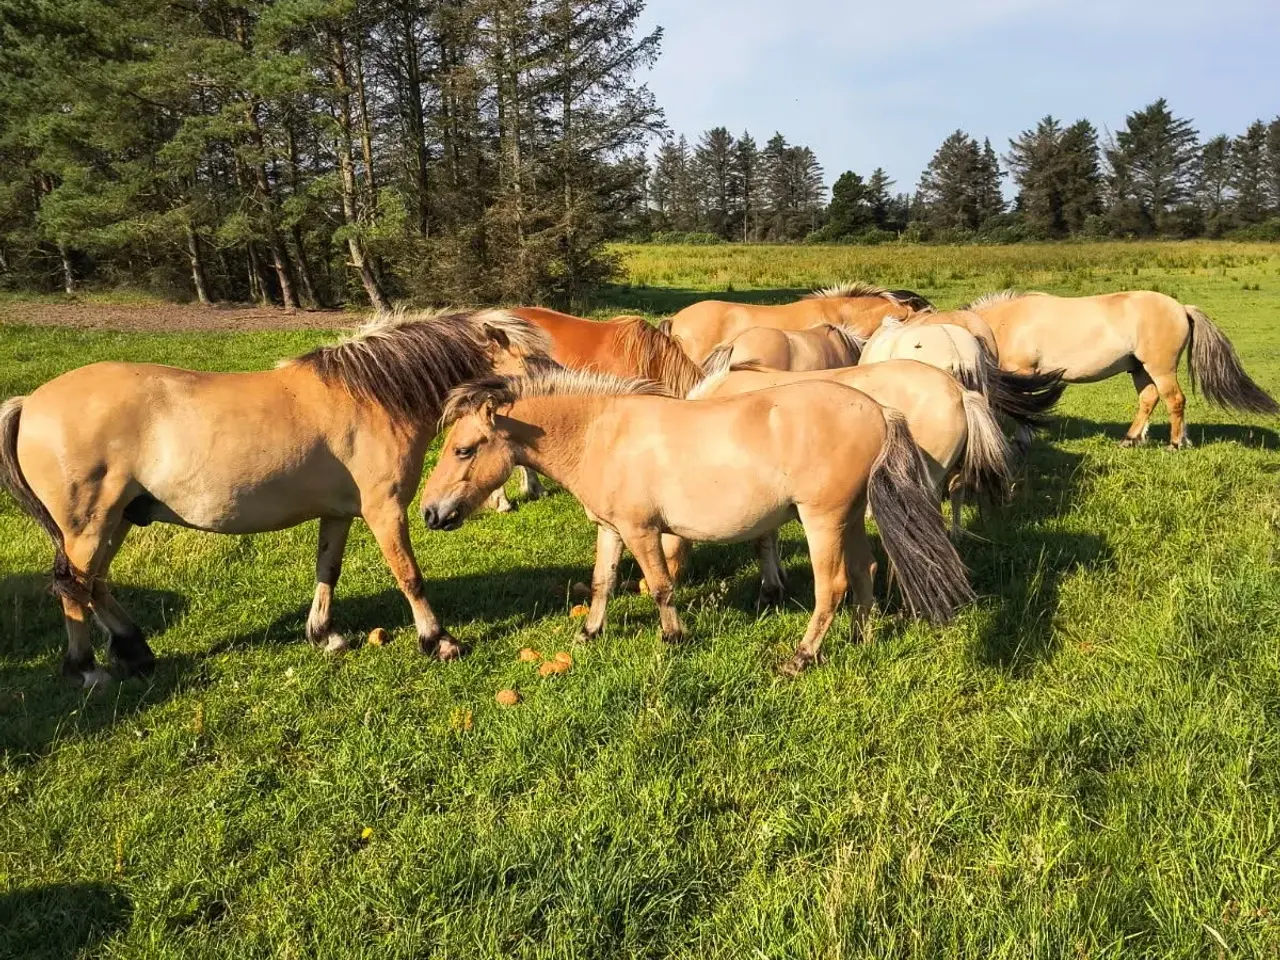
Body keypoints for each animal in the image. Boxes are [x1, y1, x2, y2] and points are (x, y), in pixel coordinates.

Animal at [0, 309, 550, 686]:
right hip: (89, 524)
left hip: (117, 519)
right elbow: (410, 576)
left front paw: (325, 635)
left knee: (93, 585)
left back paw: (135, 649)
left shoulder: (340, 514)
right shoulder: (384, 510)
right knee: (72, 587)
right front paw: (437, 641)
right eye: (533, 361)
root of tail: (29, 402)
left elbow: (328, 570)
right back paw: (87, 670)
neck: (371, 397)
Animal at [420, 368, 974, 675]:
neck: (601, 432)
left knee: (832, 586)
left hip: (823, 520)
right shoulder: (611, 530)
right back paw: (862, 637)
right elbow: (602, 582)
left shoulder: (641, 531)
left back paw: (802, 656)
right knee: (864, 572)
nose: (430, 513)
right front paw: (590, 633)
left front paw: (673, 638)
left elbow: (661, 585)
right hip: (851, 518)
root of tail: (880, 411)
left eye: (463, 449)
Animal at [964, 290, 1278, 448]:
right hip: (1140, 370)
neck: (1004, 322)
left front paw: (1022, 439)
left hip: (1160, 368)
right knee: (1148, 400)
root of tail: (1181, 308)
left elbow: (1021, 408)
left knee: (1175, 401)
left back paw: (1176, 443)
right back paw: (1131, 439)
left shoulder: (1022, 373)